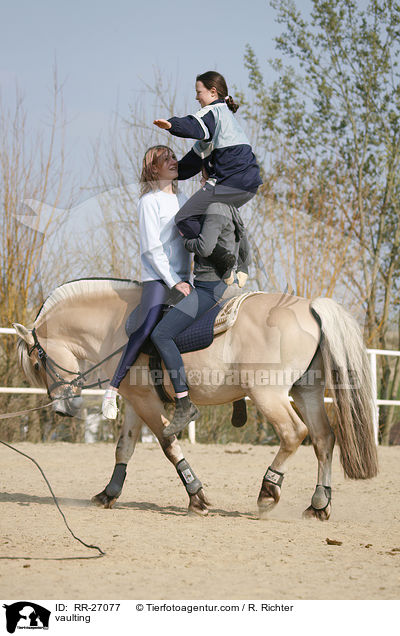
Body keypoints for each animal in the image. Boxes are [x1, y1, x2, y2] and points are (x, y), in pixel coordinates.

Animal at [14, 280, 378, 520]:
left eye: (37, 364)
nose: (61, 408)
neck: (118, 326)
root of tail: (310, 307)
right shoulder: (136, 401)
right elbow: (124, 448)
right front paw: (108, 494)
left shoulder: (148, 403)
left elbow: (168, 443)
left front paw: (197, 497)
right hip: (307, 392)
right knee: (323, 438)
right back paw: (319, 504)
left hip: (269, 394)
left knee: (294, 434)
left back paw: (267, 492)